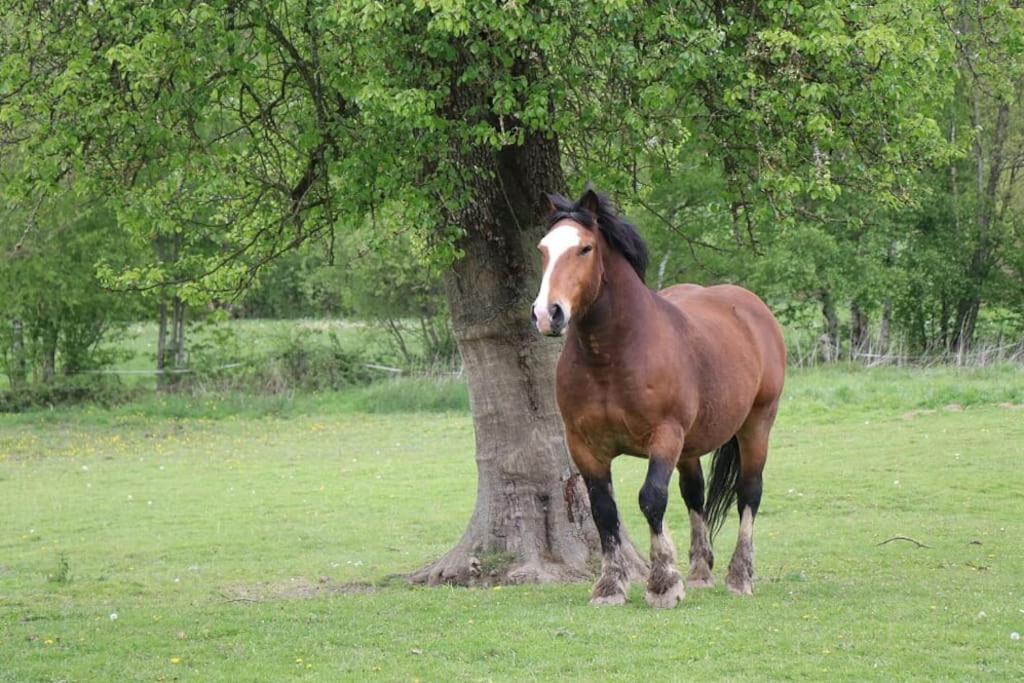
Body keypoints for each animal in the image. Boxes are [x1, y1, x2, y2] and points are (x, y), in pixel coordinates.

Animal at [532, 188, 786, 610]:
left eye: (585, 248)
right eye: (542, 249)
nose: (547, 314)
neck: (613, 355)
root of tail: (752, 308)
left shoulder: (665, 437)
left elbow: (651, 499)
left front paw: (663, 583)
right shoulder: (584, 445)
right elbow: (604, 510)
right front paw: (610, 586)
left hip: (756, 424)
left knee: (749, 493)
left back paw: (739, 576)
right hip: (691, 446)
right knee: (694, 494)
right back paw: (700, 572)